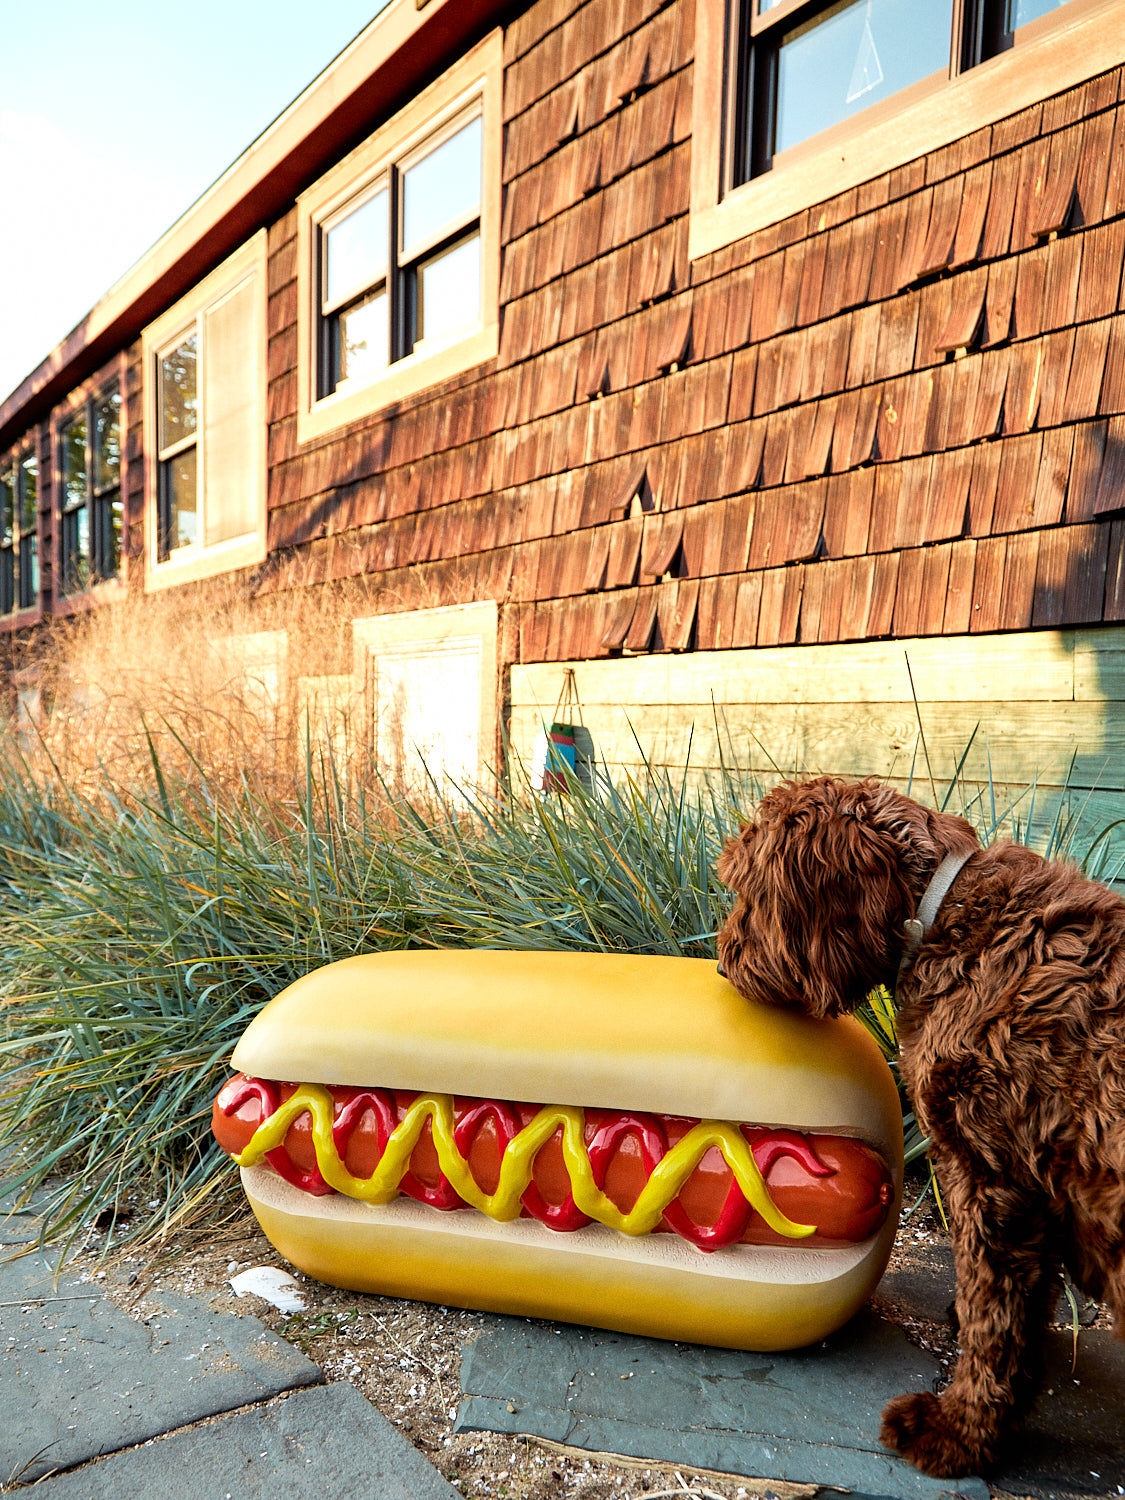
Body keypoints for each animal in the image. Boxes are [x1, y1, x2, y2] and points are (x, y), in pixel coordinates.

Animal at [723, 780, 1125, 1482]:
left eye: (750, 887)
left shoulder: (992, 1178)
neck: (943, 917)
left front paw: (957, 1432)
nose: (722, 962)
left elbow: (997, 1320)